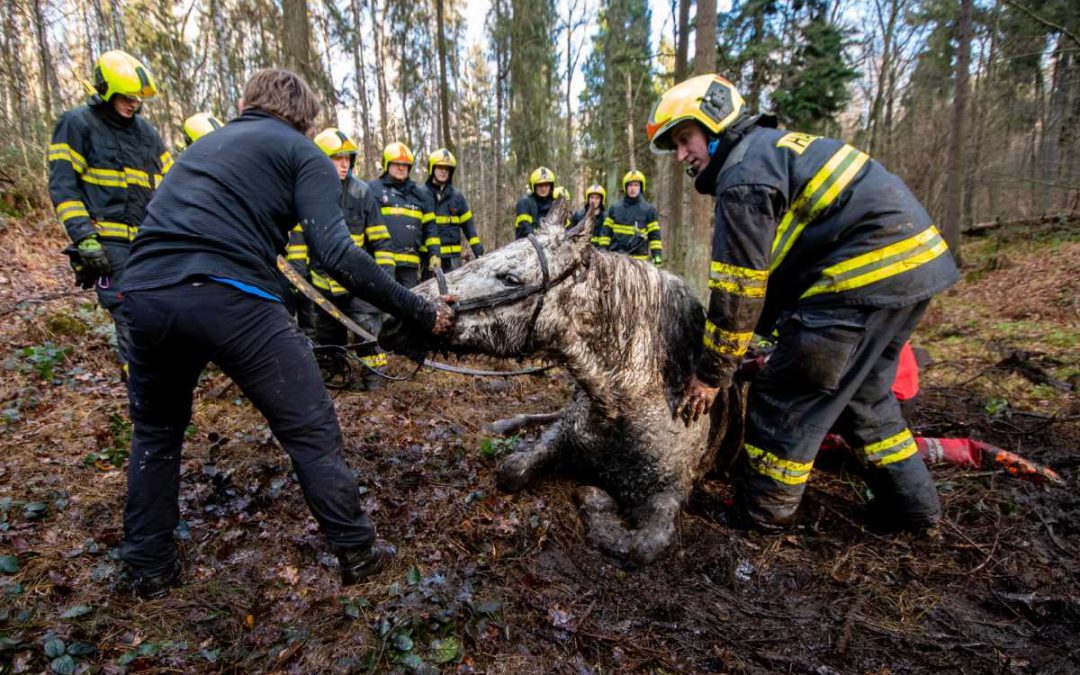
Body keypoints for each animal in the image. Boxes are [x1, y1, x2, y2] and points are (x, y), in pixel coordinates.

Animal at [380, 203, 743, 565]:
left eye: (510, 278)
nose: (396, 315)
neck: (630, 396)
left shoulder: (668, 496)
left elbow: (640, 547)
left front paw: (595, 498)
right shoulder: (563, 437)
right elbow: (512, 468)